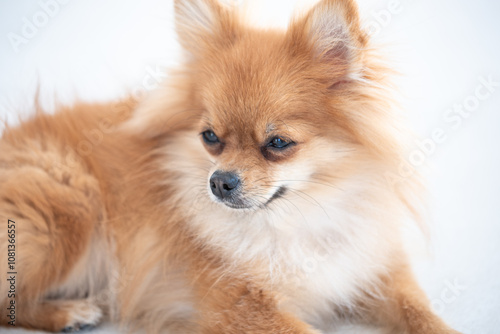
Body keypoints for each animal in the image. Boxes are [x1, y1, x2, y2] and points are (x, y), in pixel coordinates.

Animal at [0, 0, 460, 332]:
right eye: (210, 138)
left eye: (278, 144)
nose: (220, 181)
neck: (296, 219)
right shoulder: (241, 305)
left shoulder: (375, 271)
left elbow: (422, 313)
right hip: (66, 209)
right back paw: (68, 313)